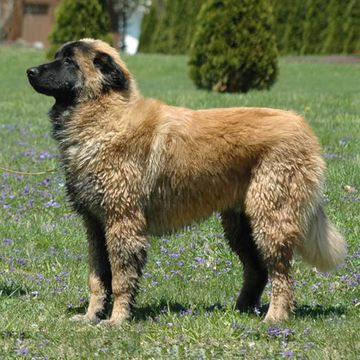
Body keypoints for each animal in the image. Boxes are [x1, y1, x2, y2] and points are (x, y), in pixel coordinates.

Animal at [26, 38, 348, 324]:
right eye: (57, 56)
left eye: (69, 61)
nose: (30, 71)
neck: (105, 116)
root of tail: (303, 126)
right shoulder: (95, 225)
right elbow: (97, 277)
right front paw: (90, 316)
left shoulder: (122, 222)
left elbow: (119, 278)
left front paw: (116, 320)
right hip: (241, 225)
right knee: (258, 271)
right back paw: (240, 311)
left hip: (271, 218)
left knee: (281, 275)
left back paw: (275, 317)